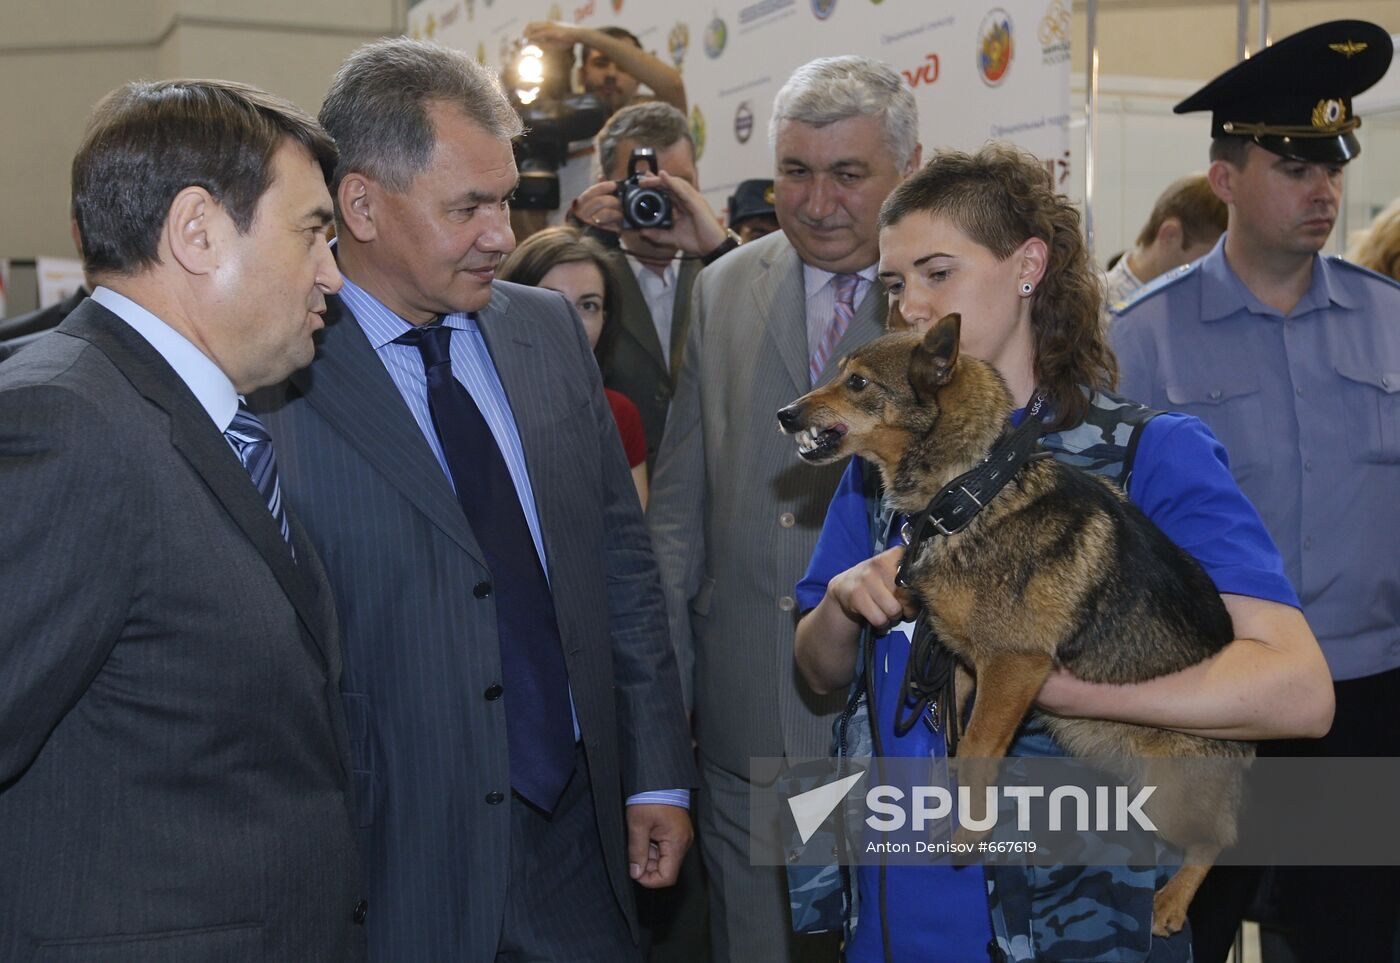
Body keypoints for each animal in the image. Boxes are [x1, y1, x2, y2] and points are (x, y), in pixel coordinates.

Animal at [784, 317, 1254, 940]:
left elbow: (978, 746)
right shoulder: (958, 668)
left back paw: (1172, 901)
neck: (969, 493)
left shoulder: (1013, 666)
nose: (785, 414)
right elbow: (953, 747)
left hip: (1172, 794)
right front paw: (952, 813)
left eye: (857, 382)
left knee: (1217, 841)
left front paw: (971, 831)